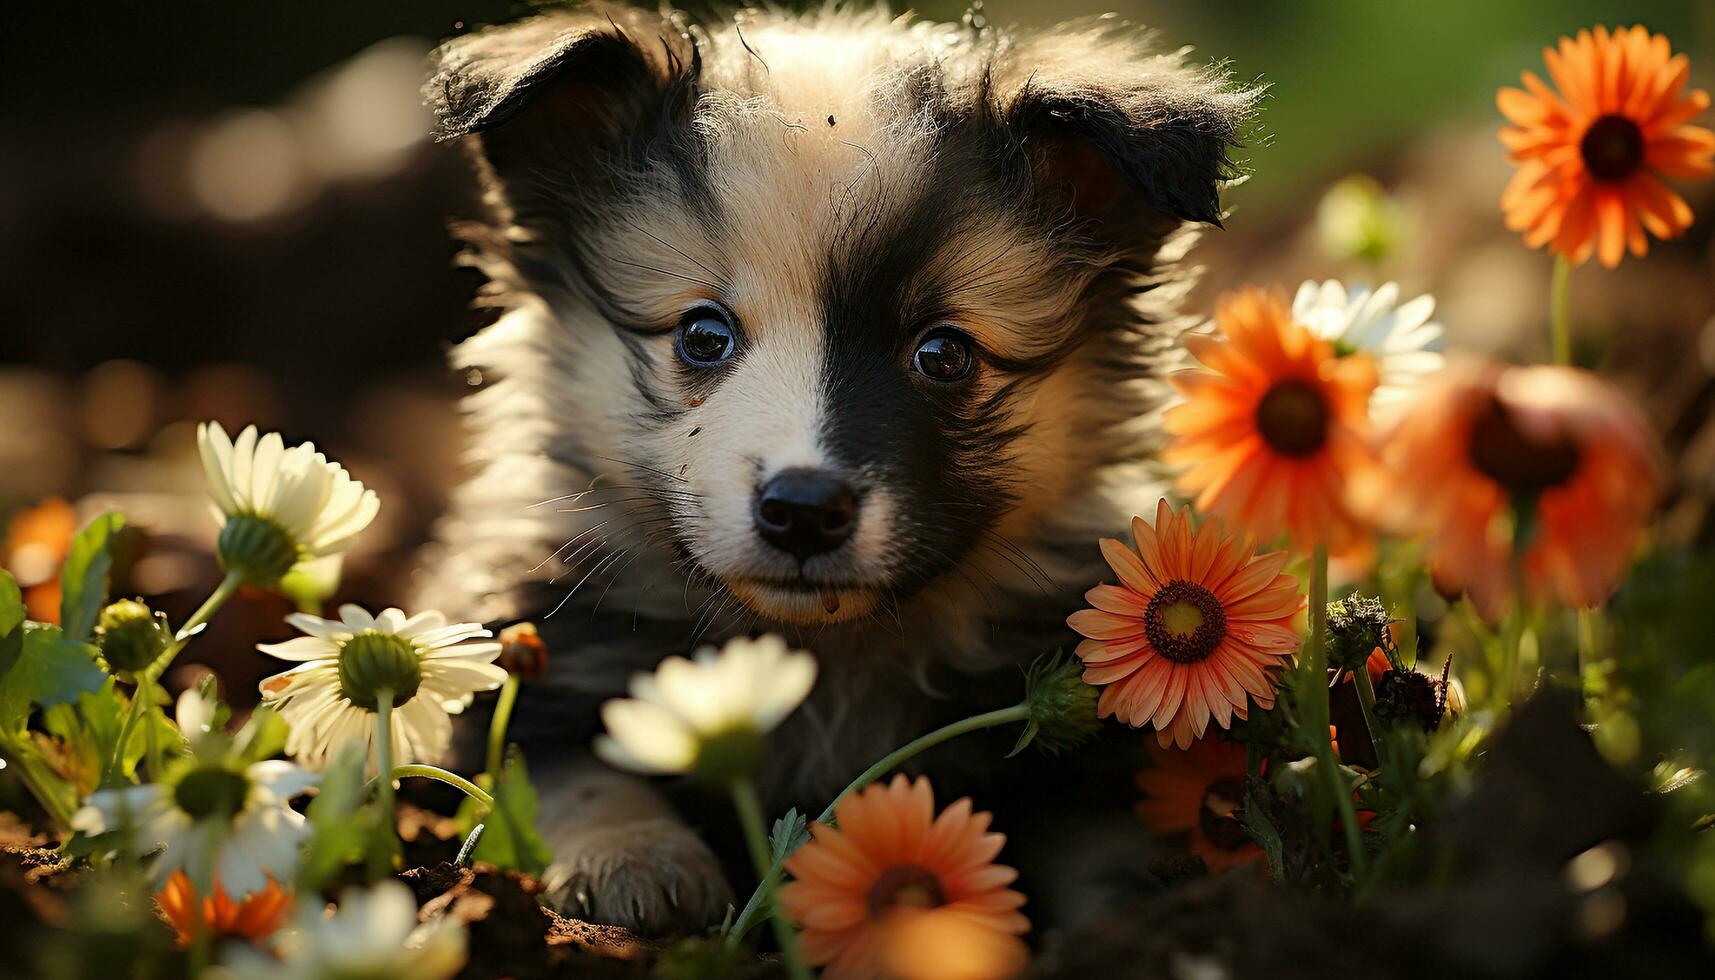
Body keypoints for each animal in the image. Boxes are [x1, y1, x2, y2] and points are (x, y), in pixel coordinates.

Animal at [421, 0, 1255, 933]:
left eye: (942, 354)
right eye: (703, 335)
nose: (802, 510)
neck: (821, 654)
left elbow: (1101, 836)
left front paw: (1139, 910)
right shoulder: (538, 655)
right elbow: (569, 770)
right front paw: (633, 860)